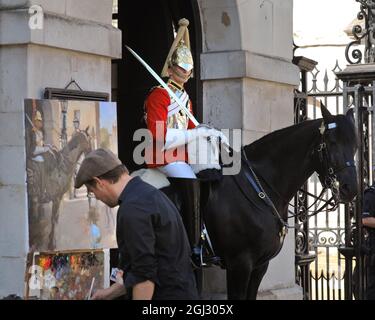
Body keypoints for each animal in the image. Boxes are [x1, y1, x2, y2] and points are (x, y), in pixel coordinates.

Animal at [197, 105, 358, 300]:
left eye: (356, 145)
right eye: (332, 142)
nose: (351, 188)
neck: (259, 186)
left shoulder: (260, 265)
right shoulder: (239, 264)